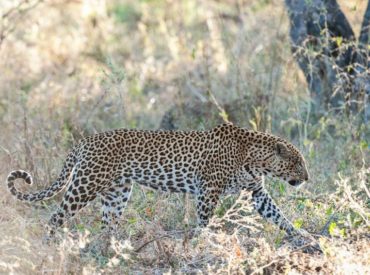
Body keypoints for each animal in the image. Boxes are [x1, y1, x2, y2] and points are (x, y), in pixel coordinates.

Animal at [7, 124, 310, 240]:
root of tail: (84, 141)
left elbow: (278, 215)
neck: (255, 158)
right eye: (298, 163)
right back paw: (50, 244)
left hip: (117, 193)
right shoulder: (208, 190)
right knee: (55, 217)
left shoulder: (257, 192)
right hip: (85, 185)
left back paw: (112, 246)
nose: (307, 178)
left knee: (107, 223)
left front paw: (301, 235)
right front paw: (205, 239)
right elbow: (205, 219)